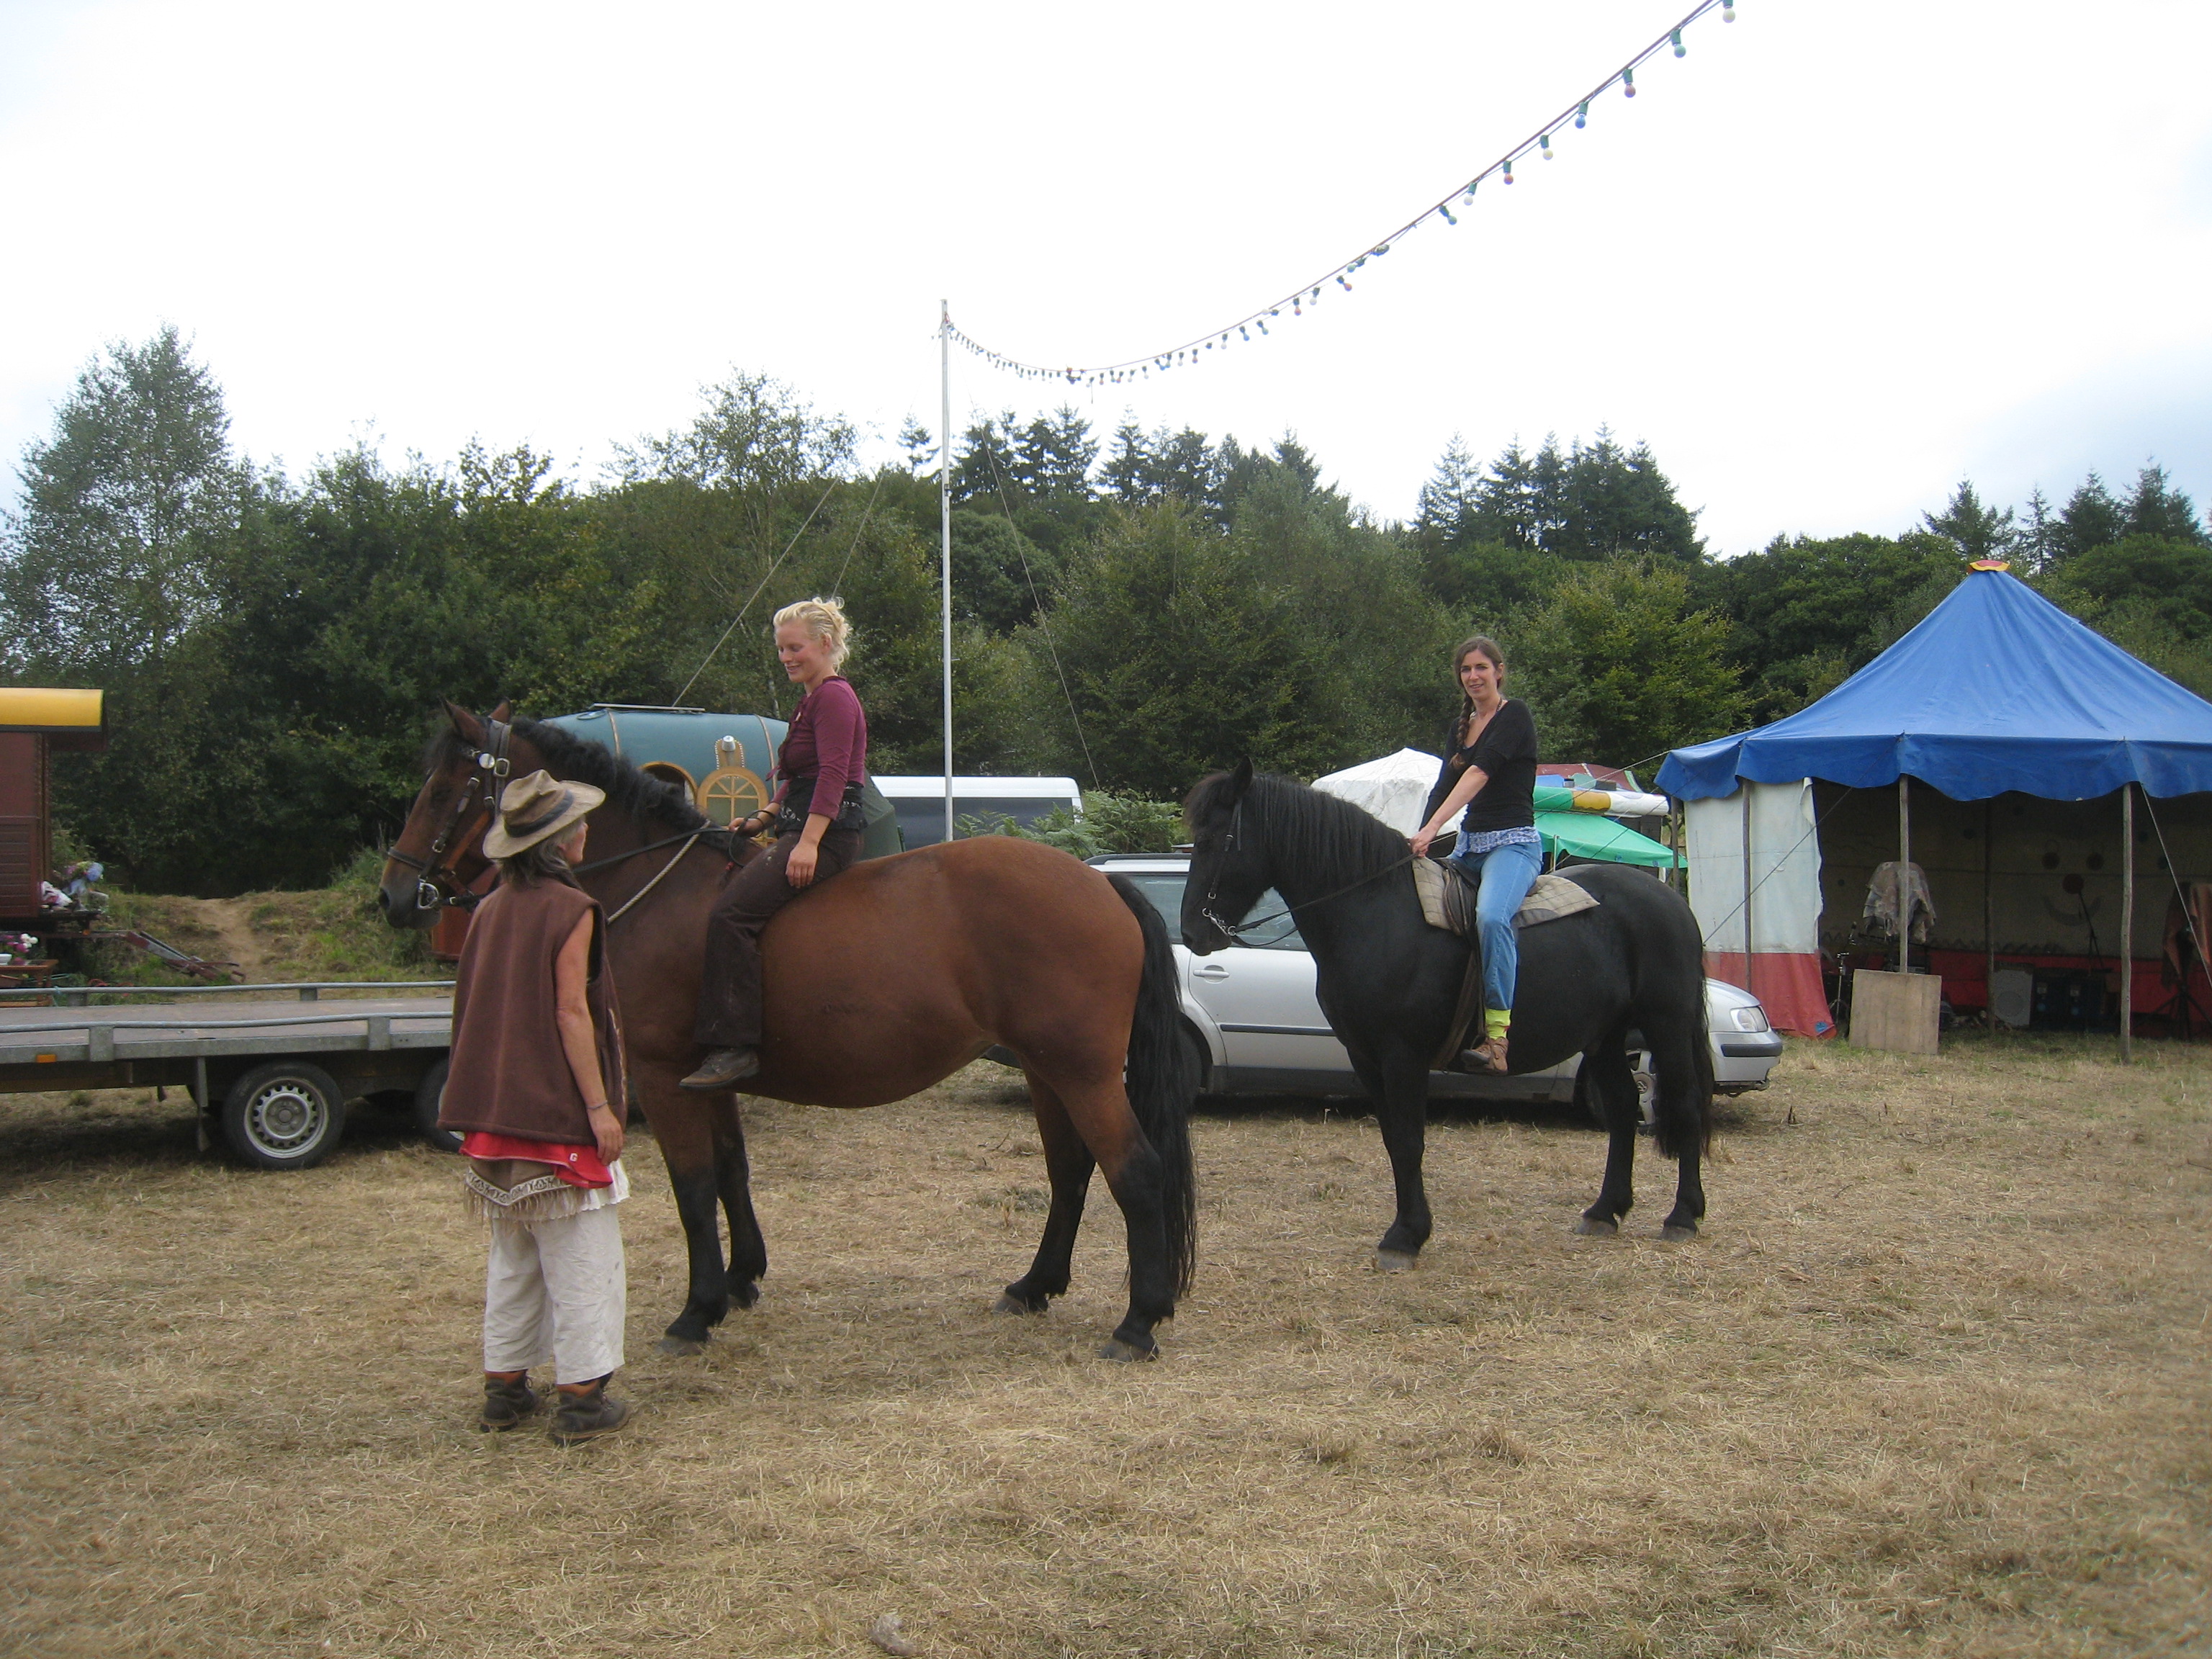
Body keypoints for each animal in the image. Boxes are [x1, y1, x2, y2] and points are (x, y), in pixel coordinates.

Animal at [380, 701, 1198, 1360]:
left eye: (445, 789)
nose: (395, 894)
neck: (662, 889)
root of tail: (1099, 883)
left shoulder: (660, 1075)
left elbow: (692, 1186)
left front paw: (697, 1311)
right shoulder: (708, 1077)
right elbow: (732, 1171)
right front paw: (742, 1280)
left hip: (1084, 1073)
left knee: (1135, 1171)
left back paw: (1138, 1322)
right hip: (1045, 1069)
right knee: (1071, 1172)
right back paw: (1035, 1286)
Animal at [1181, 762, 1712, 1264]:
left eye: (1213, 840)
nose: (1191, 933)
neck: (1376, 911)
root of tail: (1671, 900)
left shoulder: (1403, 1056)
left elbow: (1410, 1140)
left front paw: (1405, 1237)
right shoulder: (1365, 1058)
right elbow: (1393, 1140)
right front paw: (1407, 1230)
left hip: (1666, 1026)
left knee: (1685, 1106)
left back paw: (1683, 1216)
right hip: (1604, 1037)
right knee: (1622, 1110)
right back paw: (1605, 1211)